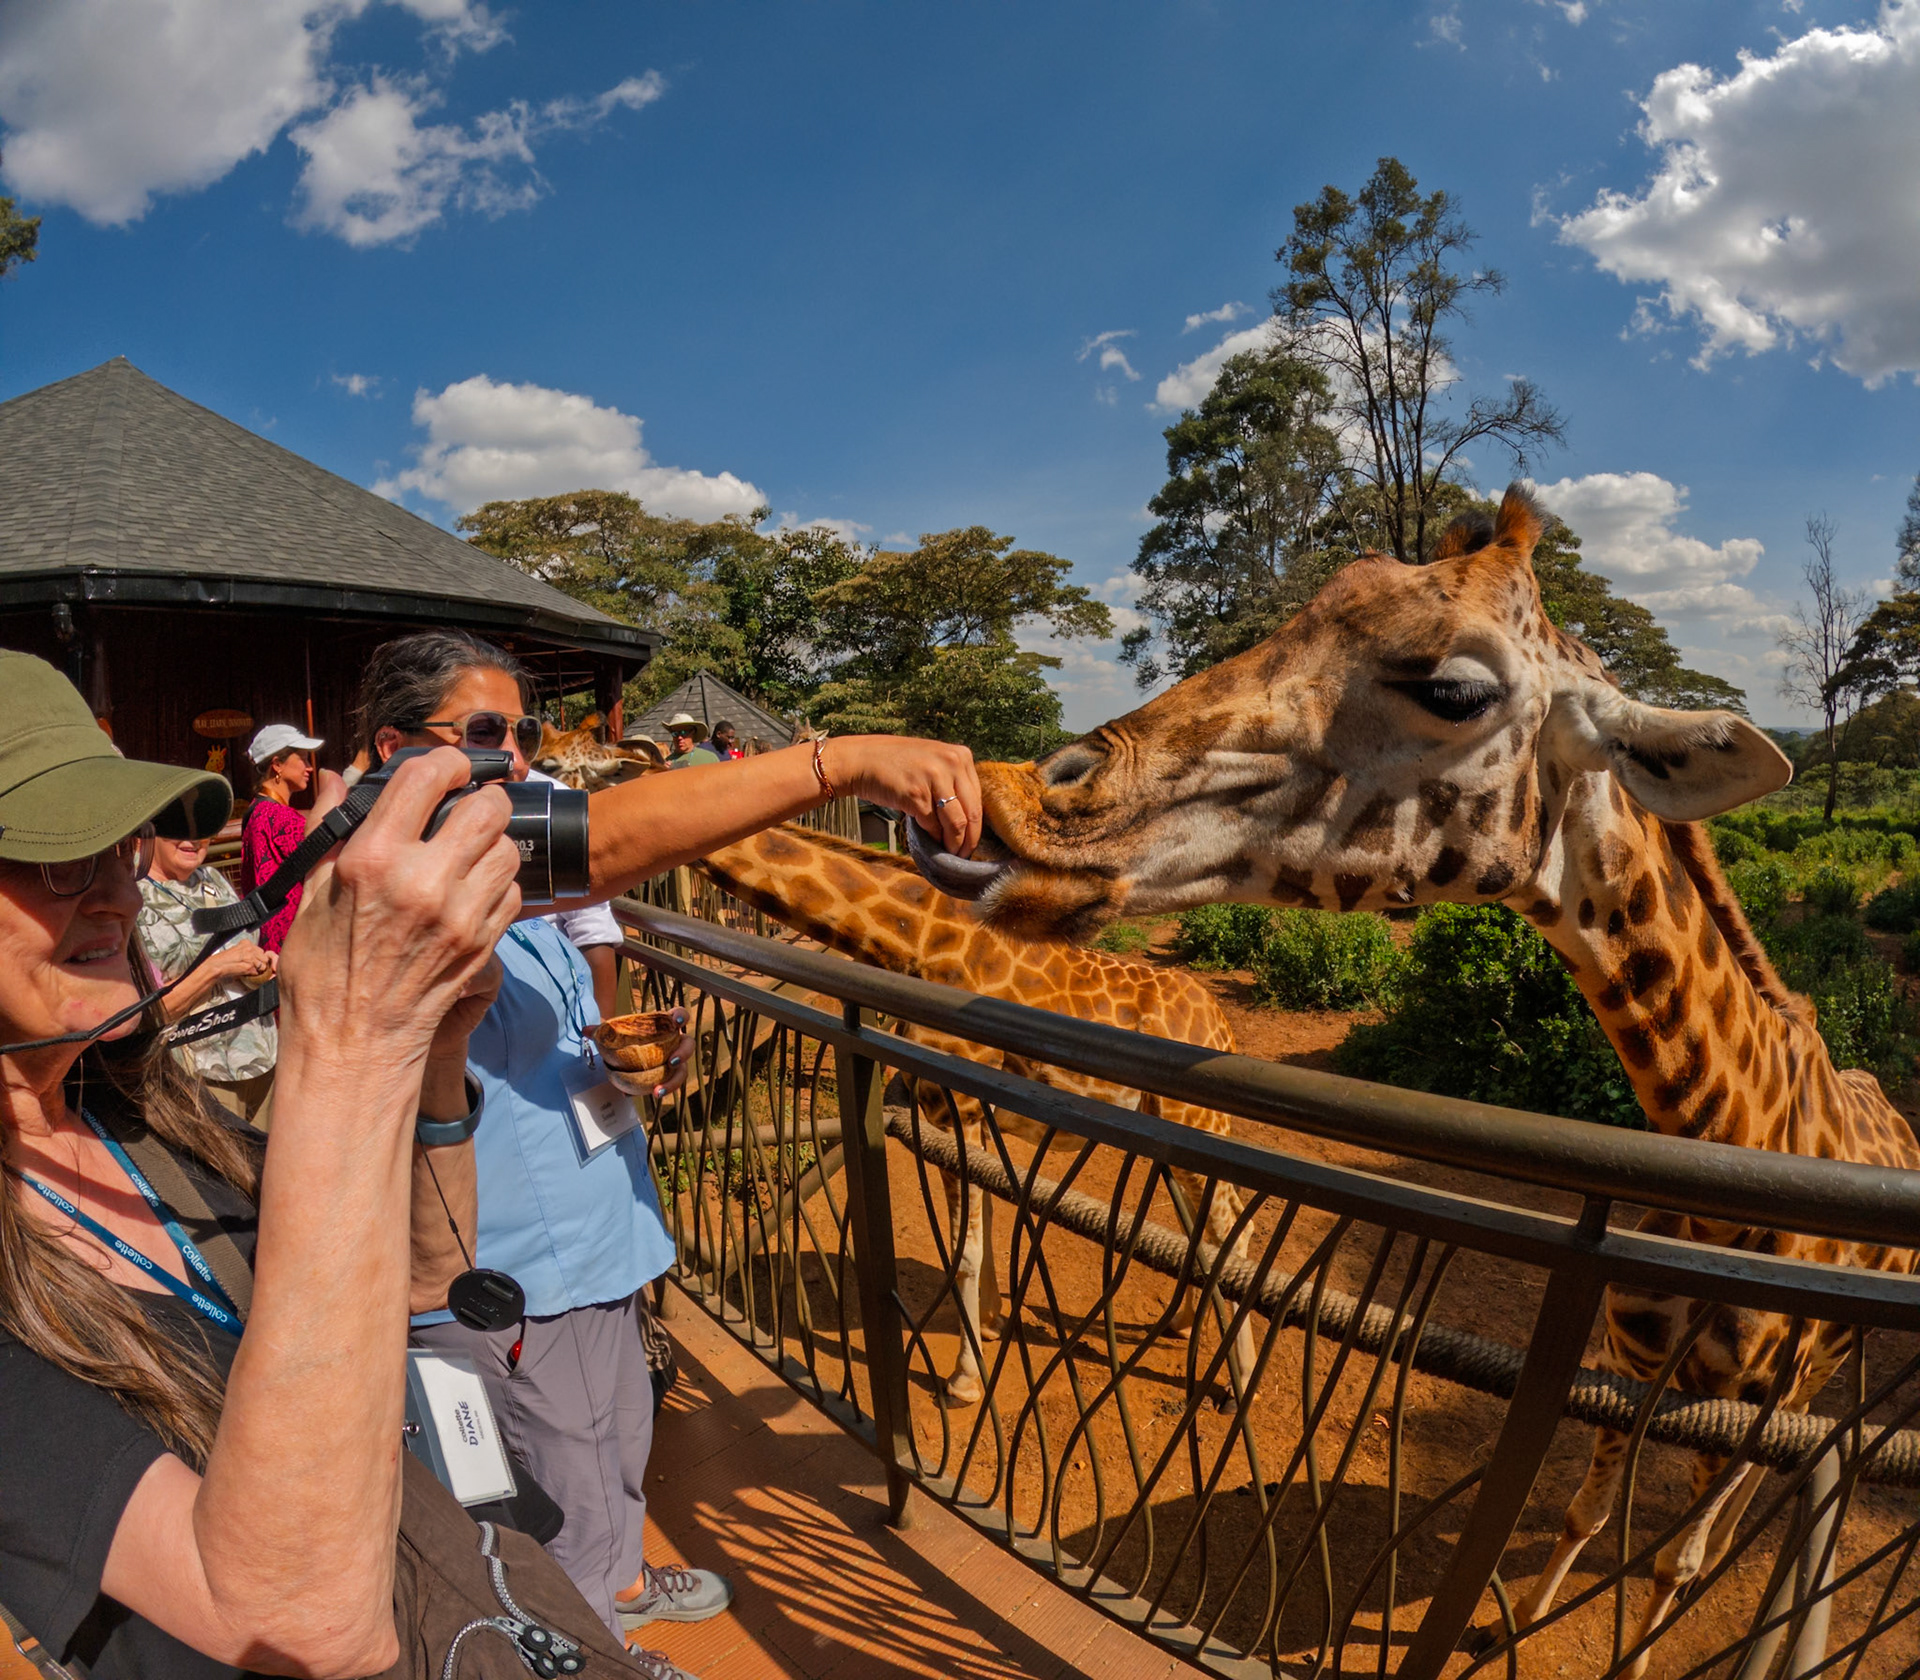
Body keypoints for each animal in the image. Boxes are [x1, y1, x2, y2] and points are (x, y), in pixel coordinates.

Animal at [535, 714, 1255, 1404]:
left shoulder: (962, 1108)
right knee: (1204, 1232)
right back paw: (1181, 1324)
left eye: (569, 765)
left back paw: (1236, 1382)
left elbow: (967, 1251)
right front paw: (989, 1327)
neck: (914, 944)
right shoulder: (945, 1111)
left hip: (1199, 1124)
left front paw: (964, 1381)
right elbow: (975, 1241)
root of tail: (1223, 1026)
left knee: (1231, 1232)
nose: (527, 783)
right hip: (1172, 1135)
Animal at [906, 484, 1920, 1672]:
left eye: (1453, 689)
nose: (1022, 801)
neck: (1739, 1167)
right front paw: (1516, 1623)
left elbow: (1674, 1564)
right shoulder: (1627, 1371)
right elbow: (1582, 1514)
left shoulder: (1757, 1413)